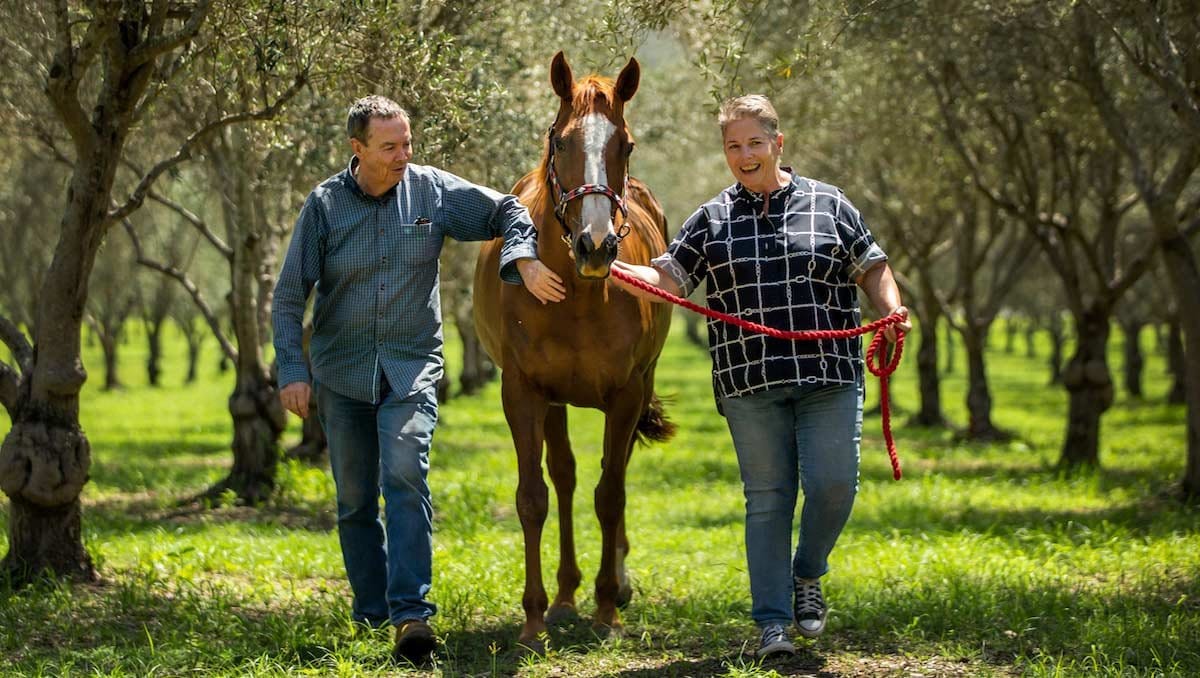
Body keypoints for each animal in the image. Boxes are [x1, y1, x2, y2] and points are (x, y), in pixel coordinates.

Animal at [473, 51, 674, 649]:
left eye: (625, 144)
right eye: (561, 142)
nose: (596, 245)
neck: (580, 295)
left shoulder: (628, 393)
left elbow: (611, 495)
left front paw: (607, 609)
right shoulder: (523, 393)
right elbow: (533, 497)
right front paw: (534, 618)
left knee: (614, 471)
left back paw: (615, 587)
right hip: (555, 402)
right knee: (563, 478)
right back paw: (564, 597)